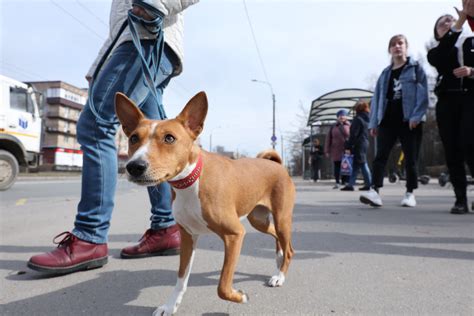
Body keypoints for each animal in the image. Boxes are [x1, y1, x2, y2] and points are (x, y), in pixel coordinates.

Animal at [115, 91, 294, 316]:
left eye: (169, 138)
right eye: (133, 138)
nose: (134, 166)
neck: (191, 181)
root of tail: (276, 165)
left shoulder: (235, 234)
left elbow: (222, 286)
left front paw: (239, 296)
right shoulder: (188, 236)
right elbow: (181, 279)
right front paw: (170, 305)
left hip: (282, 219)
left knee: (289, 248)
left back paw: (280, 275)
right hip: (258, 220)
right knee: (276, 236)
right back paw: (278, 259)